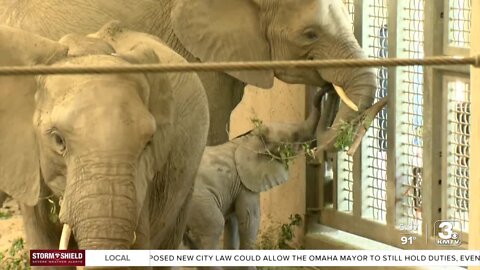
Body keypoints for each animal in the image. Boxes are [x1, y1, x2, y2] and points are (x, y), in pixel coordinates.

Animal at [184, 87, 330, 251]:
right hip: (197, 200)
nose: (327, 87)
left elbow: (233, 221)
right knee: (213, 227)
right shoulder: (245, 183)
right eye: (292, 137)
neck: (249, 137)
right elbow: (249, 221)